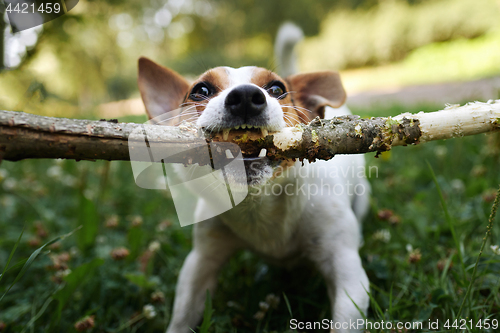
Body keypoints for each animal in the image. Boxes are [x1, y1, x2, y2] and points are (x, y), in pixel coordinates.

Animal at [137, 24, 372, 332]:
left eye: (277, 89)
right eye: (201, 90)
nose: (247, 96)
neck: (258, 206)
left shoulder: (346, 272)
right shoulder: (201, 261)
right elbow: (183, 314)